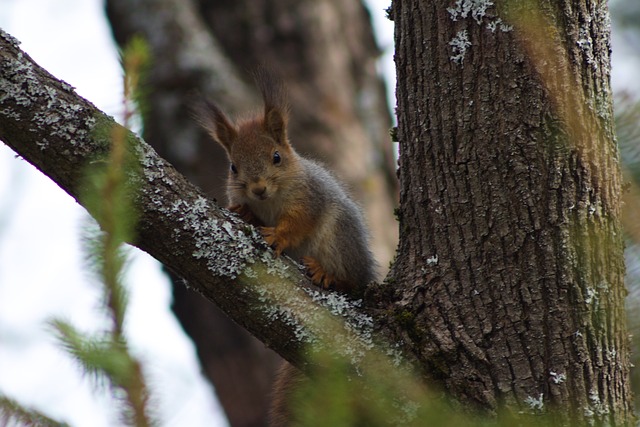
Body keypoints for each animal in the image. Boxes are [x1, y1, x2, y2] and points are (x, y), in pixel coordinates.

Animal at [198, 72, 378, 426]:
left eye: (276, 157)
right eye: (233, 167)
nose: (258, 189)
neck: (271, 200)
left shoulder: (308, 199)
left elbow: (297, 225)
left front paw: (278, 237)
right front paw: (244, 212)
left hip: (341, 239)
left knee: (350, 280)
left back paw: (328, 275)